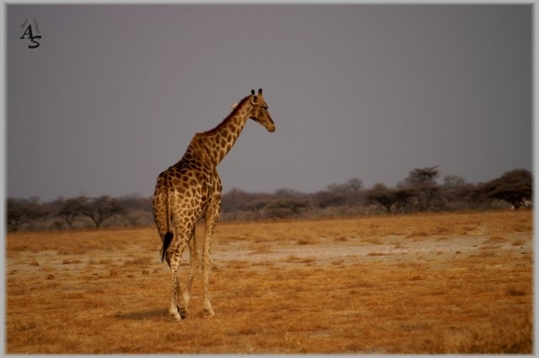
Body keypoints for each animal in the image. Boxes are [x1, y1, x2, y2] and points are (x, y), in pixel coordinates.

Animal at [153, 88, 276, 320]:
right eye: (265, 107)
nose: (273, 126)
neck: (214, 154)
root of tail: (165, 184)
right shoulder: (213, 210)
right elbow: (207, 258)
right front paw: (207, 307)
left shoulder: (194, 218)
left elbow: (195, 258)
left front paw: (186, 303)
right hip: (183, 219)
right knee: (174, 253)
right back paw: (173, 311)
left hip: (165, 220)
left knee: (168, 254)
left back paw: (178, 307)